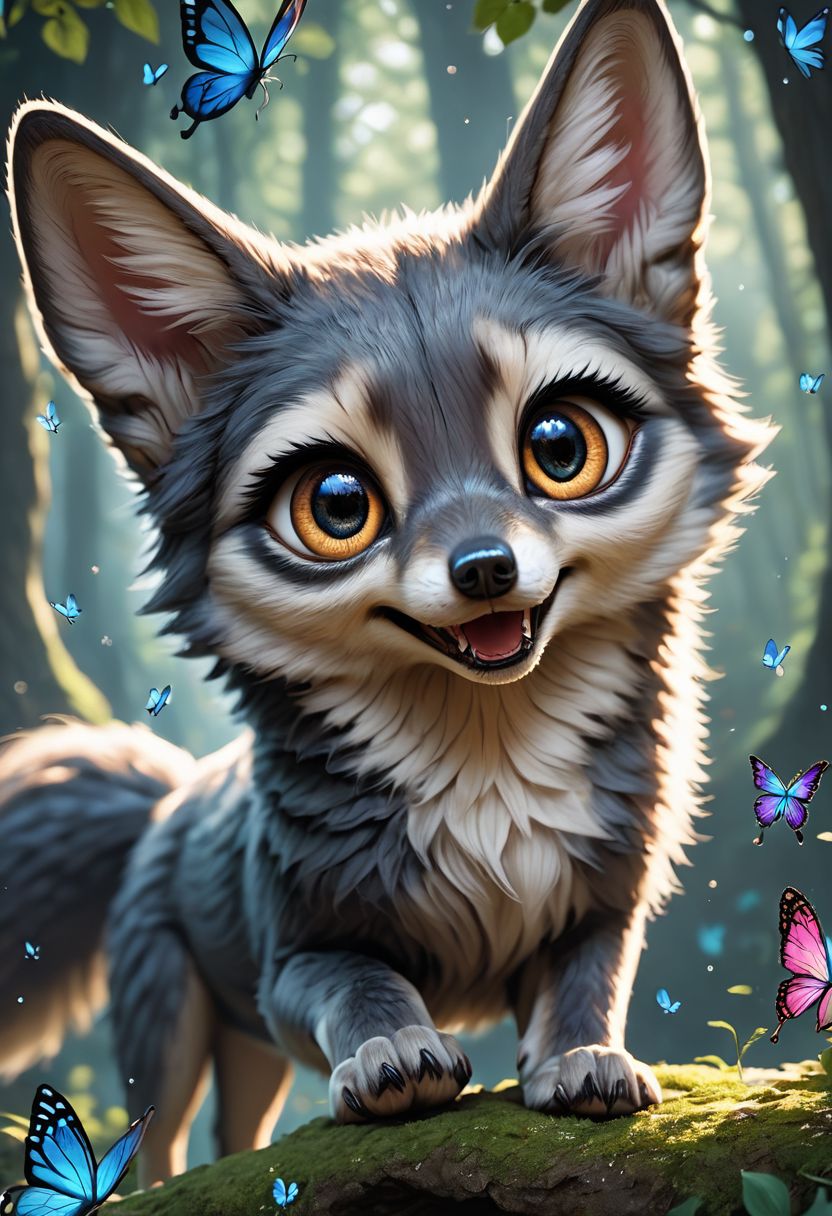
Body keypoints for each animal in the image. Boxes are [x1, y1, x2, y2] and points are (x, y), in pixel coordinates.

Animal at [0, 0, 769, 1187]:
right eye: (336, 505)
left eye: (560, 447)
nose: (485, 567)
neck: (487, 758)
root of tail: (167, 795)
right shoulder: (293, 956)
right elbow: (359, 983)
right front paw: (395, 1053)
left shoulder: (603, 907)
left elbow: (586, 983)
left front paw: (584, 1061)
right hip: (169, 1004)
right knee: (164, 1135)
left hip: (238, 1046)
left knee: (238, 1127)